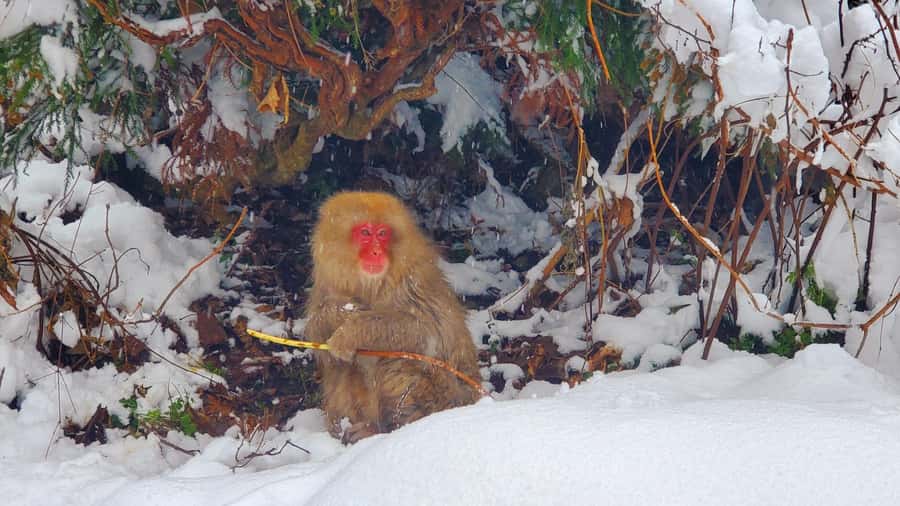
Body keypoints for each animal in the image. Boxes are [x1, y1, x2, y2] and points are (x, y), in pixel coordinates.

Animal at [303, 191, 481, 443]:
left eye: (383, 233)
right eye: (365, 233)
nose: (377, 251)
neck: (370, 283)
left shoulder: (412, 281)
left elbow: (426, 331)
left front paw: (350, 332)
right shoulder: (327, 283)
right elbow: (321, 342)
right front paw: (339, 313)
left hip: (447, 398)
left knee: (400, 360)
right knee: (345, 366)